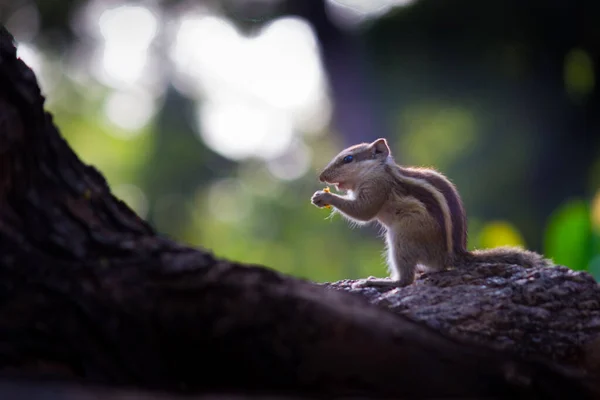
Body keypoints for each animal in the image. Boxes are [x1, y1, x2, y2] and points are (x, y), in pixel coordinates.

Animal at [312, 138, 552, 288]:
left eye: (348, 159)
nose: (322, 177)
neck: (378, 170)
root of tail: (453, 255)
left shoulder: (377, 188)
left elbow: (364, 212)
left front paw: (324, 197)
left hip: (403, 236)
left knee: (407, 279)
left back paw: (383, 281)